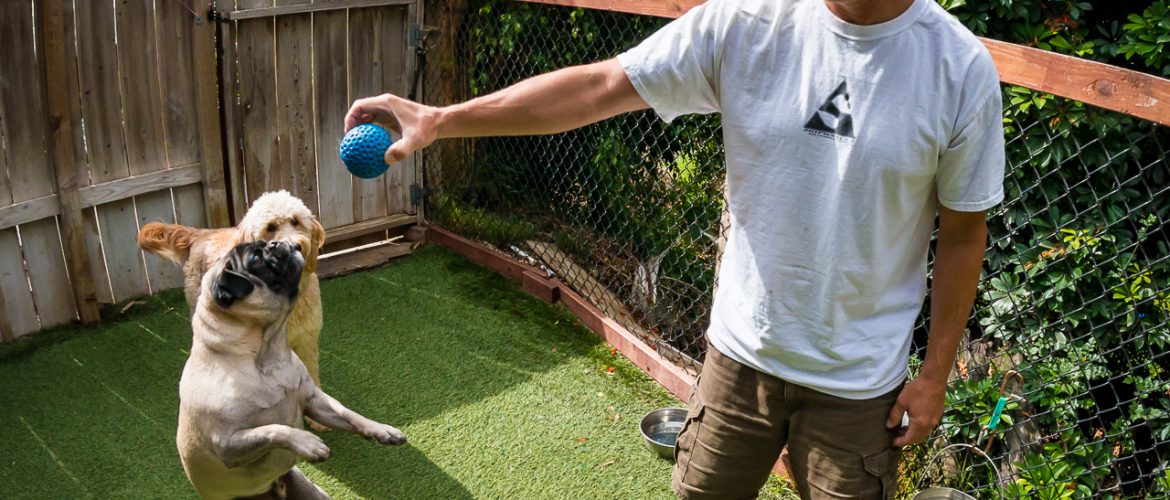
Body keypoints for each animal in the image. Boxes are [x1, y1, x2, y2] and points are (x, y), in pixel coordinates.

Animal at [177, 240, 406, 499]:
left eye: (263, 245)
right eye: (256, 259)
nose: (279, 243)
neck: (267, 354)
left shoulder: (315, 401)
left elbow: (349, 414)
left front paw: (381, 430)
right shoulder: (228, 444)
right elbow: (274, 429)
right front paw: (307, 442)